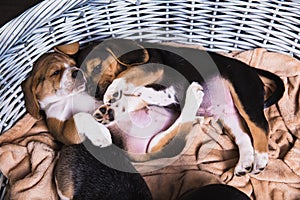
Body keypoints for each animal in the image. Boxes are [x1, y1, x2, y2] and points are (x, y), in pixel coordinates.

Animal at [80, 38, 286, 176]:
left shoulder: (152, 68)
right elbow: (136, 96)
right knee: (243, 136)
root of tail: (250, 69)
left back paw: (260, 159)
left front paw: (113, 92)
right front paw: (113, 107)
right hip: (229, 114)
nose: (95, 94)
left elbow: (127, 77)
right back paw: (244, 162)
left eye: (97, 67)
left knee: (261, 127)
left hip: (244, 95)